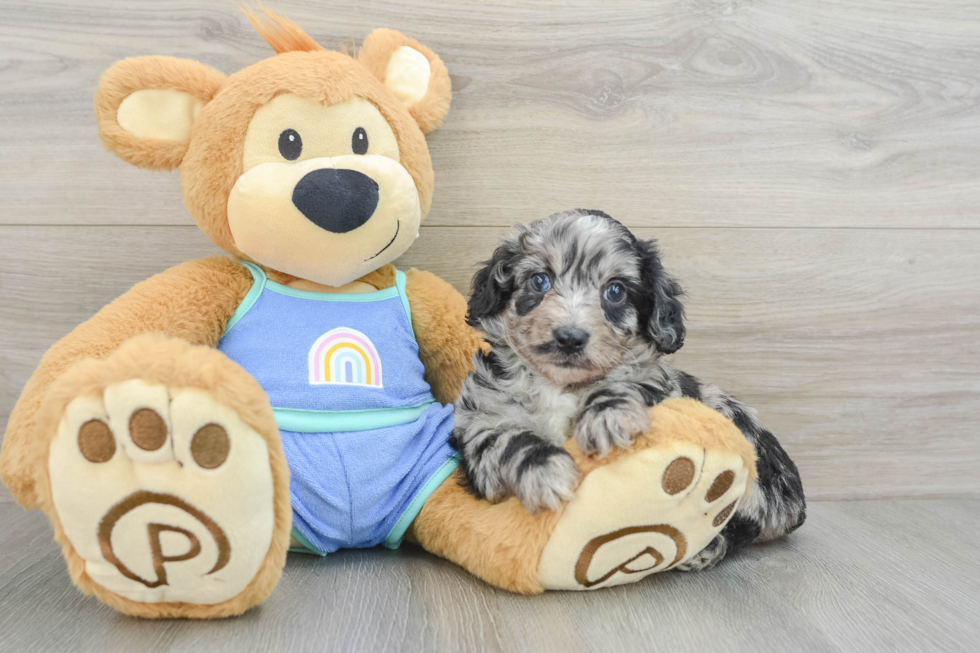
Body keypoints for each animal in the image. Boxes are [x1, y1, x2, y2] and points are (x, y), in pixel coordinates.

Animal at [452, 210, 804, 572]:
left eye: (615, 291)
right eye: (539, 281)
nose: (569, 338)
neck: (561, 386)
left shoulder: (657, 385)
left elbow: (623, 383)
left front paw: (607, 418)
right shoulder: (481, 419)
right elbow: (508, 440)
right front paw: (544, 471)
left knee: (739, 523)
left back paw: (705, 549)